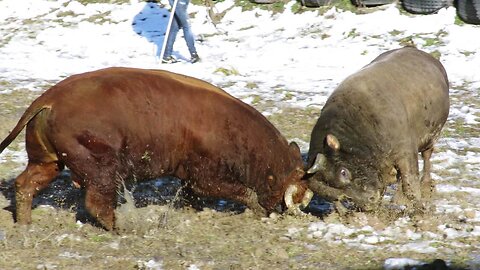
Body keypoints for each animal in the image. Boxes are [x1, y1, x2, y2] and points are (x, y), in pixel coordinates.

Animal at [0, 67, 314, 230]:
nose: (284, 211)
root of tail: (49, 99)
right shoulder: (205, 176)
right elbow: (241, 191)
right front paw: (257, 210)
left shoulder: (189, 177)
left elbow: (191, 196)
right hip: (101, 169)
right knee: (96, 203)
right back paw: (121, 228)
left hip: (47, 161)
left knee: (25, 184)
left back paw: (24, 223)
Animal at [308, 46, 450, 211]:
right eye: (335, 196)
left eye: (343, 172)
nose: (369, 201)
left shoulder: (406, 151)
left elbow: (410, 185)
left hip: (432, 136)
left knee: (427, 157)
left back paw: (426, 186)